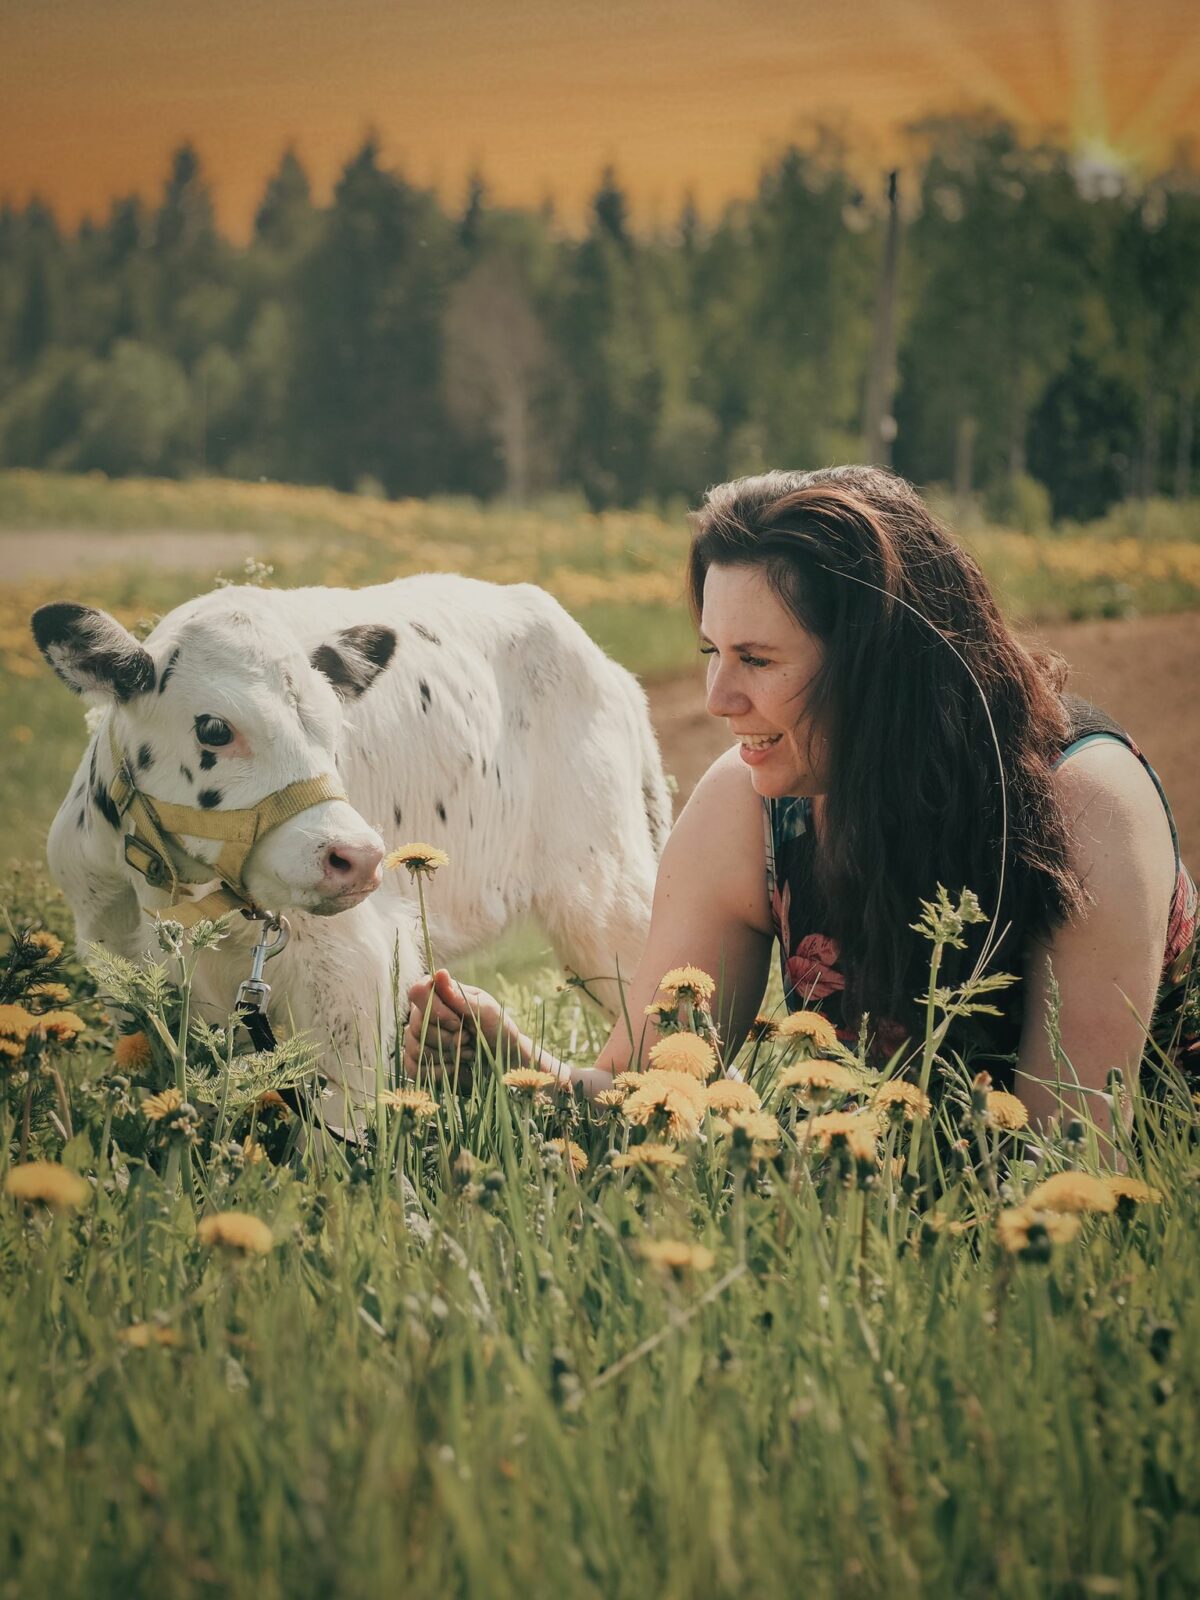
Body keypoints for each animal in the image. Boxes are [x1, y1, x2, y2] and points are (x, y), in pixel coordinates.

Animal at [32, 576, 672, 1126]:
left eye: (335, 728)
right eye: (213, 728)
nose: (359, 857)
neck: (172, 906)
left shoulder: (353, 973)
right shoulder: (120, 968)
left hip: (606, 899)